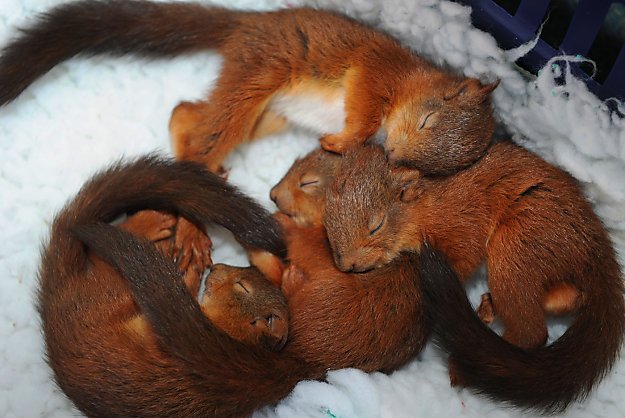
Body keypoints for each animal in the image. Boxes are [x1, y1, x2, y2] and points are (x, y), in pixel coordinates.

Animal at [0, 0, 498, 174]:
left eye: (439, 167)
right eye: (430, 117)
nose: (394, 154)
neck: (414, 77)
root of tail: (249, 23)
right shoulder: (375, 72)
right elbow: (362, 111)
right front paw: (341, 142)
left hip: (269, 116)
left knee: (185, 111)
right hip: (258, 76)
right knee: (206, 123)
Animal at [322, 144, 624, 412]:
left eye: (376, 226)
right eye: (328, 223)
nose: (346, 265)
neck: (424, 208)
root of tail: (594, 245)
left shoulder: (461, 224)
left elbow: (464, 258)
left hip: (515, 248)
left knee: (533, 332)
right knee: (568, 297)